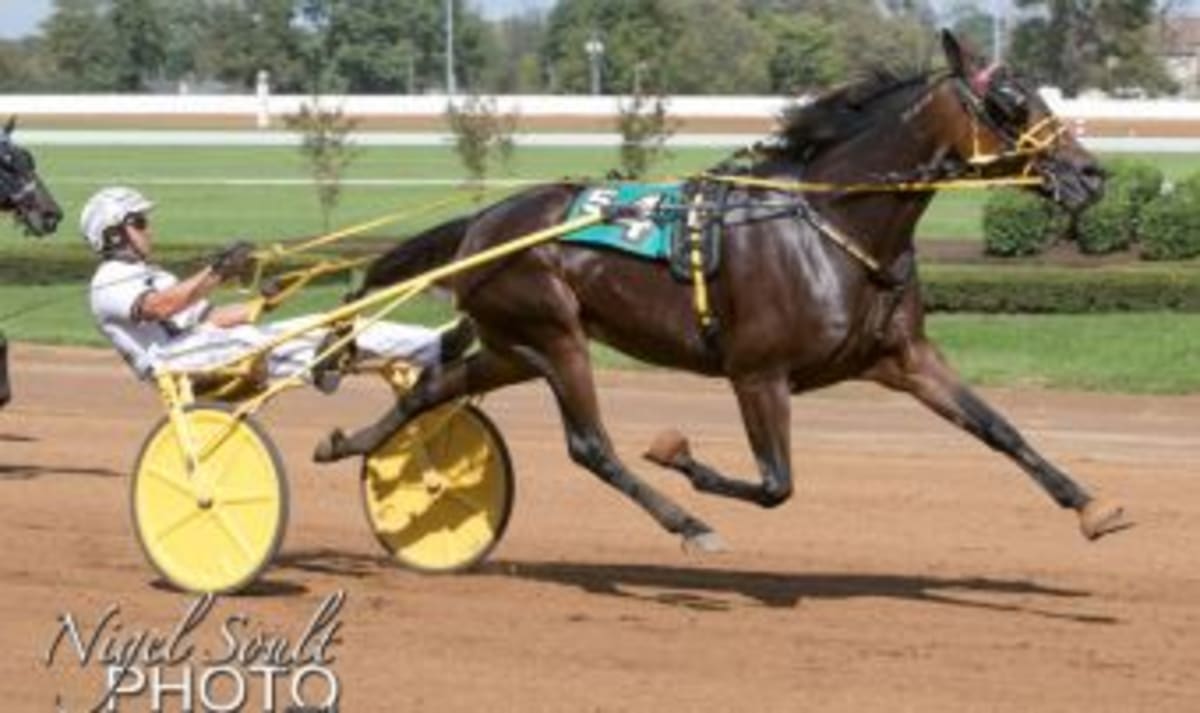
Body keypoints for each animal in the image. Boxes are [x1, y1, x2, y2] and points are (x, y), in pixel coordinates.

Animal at [315, 31, 1128, 551]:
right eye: (1010, 104)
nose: (1090, 174)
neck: (832, 224)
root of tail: (484, 222)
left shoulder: (904, 357)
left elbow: (998, 428)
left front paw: (1093, 504)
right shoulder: (757, 372)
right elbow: (775, 484)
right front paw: (679, 456)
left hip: (513, 345)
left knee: (431, 386)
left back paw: (344, 443)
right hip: (553, 335)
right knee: (590, 445)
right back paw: (687, 523)